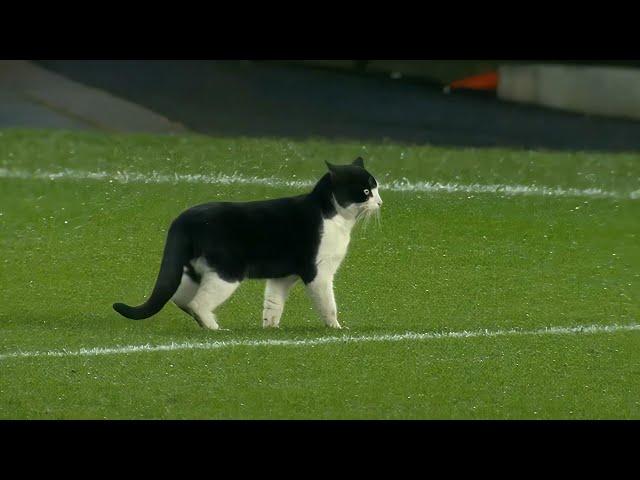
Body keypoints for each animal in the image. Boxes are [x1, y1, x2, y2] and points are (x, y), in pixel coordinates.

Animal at [113, 158, 382, 330]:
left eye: (377, 188)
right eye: (366, 192)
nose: (380, 202)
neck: (335, 218)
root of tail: (183, 219)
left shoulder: (282, 276)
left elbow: (273, 303)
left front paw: (270, 328)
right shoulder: (319, 272)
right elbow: (328, 304)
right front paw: (337, 329)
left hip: (193, 268)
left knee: (180, 297)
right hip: (227, 271)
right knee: (197, 302)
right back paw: (215, 328)